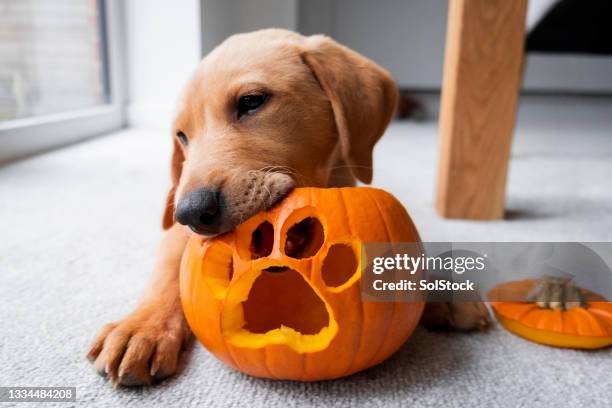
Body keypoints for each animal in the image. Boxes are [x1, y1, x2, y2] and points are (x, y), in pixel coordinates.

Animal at [86, 27, 490, 386]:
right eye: (182, 136)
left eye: (251, 101)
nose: (191, 212)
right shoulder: (177, 235)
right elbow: (169, 272)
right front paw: (145, 327)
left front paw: (443, 293)